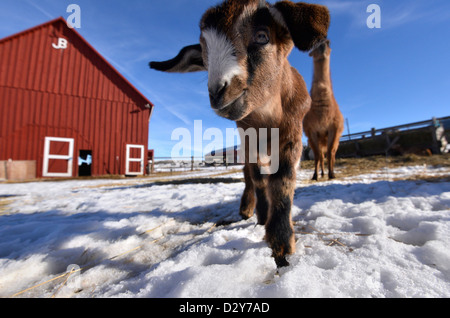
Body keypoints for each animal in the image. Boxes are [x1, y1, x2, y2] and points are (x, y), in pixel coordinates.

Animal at [149, 0, 328, 268]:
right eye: (205, 55)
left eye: (262, 36)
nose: (218, 93)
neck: (267, 118)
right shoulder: (248, 139)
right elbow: (258, 179)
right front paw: (264, 220)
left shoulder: (292, 134)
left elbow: (283, 180)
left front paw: (282, 244)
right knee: (249, 177)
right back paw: (248, 209)